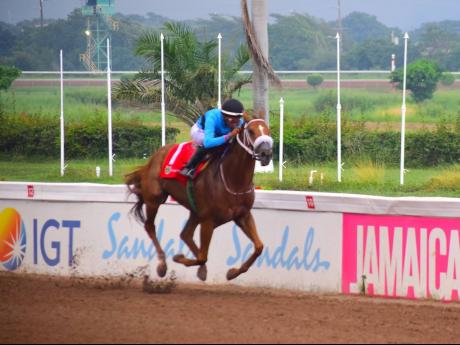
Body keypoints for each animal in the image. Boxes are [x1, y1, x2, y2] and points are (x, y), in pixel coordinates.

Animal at [125, 115, 274, 280]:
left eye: (268, 129)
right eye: (251, 131)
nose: (266, 153)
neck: (233, 180)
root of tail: (153, 158)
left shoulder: (243, 215)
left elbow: (259, 247)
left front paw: (232, 273)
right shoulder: (208, 220)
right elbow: (203, 256)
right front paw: (179, 258)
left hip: (195, 211)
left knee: (186, 234)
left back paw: (201, 270)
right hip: (154, 199)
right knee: (150, 226)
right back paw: (163, 265)